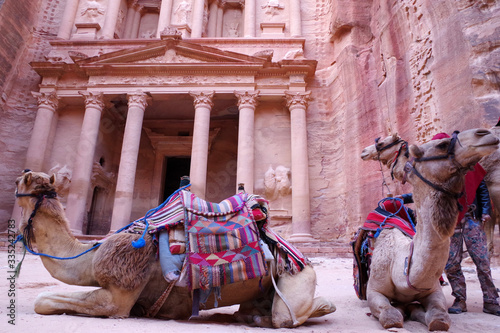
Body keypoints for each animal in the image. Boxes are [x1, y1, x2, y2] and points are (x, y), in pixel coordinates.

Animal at [14, 171, 336, 326]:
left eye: (19, 183)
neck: (90, 257)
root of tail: (297, 256)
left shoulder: (119, 297)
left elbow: (42, 300)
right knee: (250, 311)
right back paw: (250, 316)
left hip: (297, 275)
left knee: (289, 315)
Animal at [358, 128, 498, 328]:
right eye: (443, 144)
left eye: (381, 143)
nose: (484, 133)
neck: (401, 268)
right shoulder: (374, 292)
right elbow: (392, 316)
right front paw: (402, 309)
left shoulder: (434, 291)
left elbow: (439, 318)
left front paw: (416, 310)